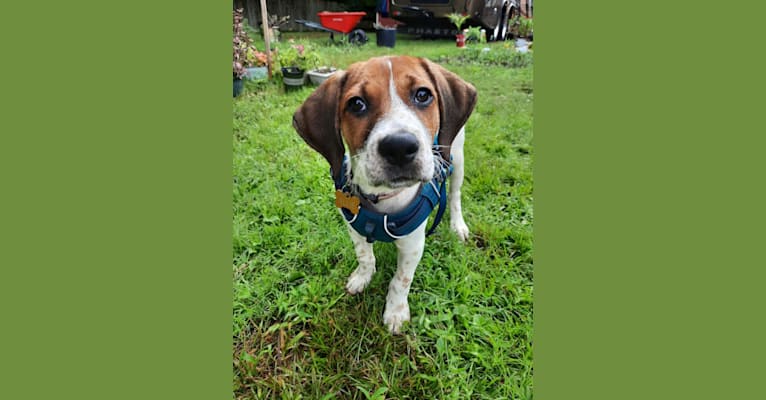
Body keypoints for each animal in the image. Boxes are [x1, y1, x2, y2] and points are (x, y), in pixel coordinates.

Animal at [296, 54, 480, 332]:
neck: (381, 198)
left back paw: (458, 226)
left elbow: (401, 280)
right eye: (357, 103)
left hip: (456, 157)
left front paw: (395, 311)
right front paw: (362, 277)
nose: (399, 147)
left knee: (455, 195)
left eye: (423, 95)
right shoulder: (353, 228)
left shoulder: (413, 244)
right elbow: (364, 256)